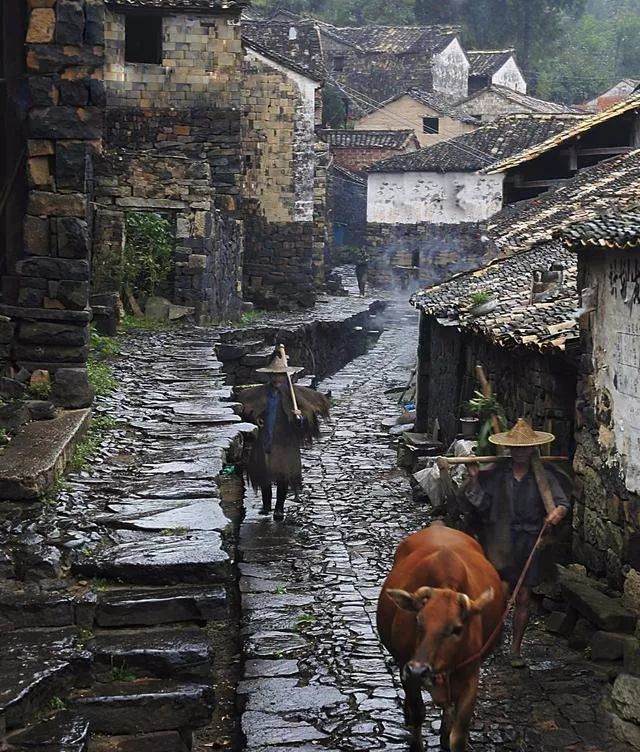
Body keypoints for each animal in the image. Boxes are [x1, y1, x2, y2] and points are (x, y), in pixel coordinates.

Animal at [376, 524, 504, 752]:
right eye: (418, 621)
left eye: (457, 629)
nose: (419, 669)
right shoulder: (406, 671)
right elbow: (417, 712)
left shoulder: (471, 676)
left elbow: (459, 736)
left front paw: (449, 735)